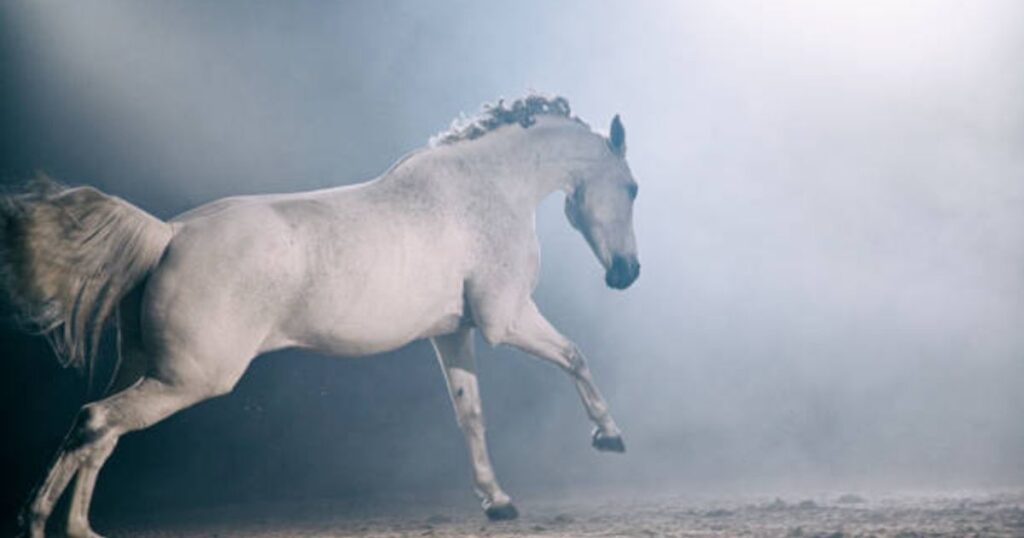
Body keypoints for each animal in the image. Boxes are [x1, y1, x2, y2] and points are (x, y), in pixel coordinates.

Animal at [2, 94, 638, 532]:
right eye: (631, 187)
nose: (626, 274)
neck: (485, 188)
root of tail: (169, 235)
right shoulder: (505, 320)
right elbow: (575, 355)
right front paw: (609, 436)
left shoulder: (454, 335)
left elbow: (471, 417)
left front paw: (498, 501)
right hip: (188, 379)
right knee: (96, 422)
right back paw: (45, 523)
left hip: (143, 370)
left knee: (96, 434)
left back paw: (71, 526)